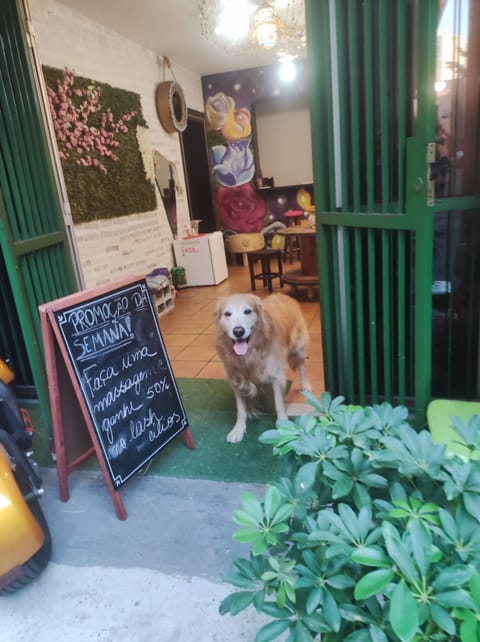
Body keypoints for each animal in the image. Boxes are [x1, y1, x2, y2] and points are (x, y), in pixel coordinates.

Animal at [214, 292, 312, 442]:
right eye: (227, 314)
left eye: (247, 311)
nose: (238, 331)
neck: (249, 355)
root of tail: (284, 295)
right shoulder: (235, 377)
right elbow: (240, 409)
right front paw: (238, 428)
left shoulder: (276, 375)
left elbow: (279, 403)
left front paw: (283, 424)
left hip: (298, 350)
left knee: (302, 367)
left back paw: (305, 385)